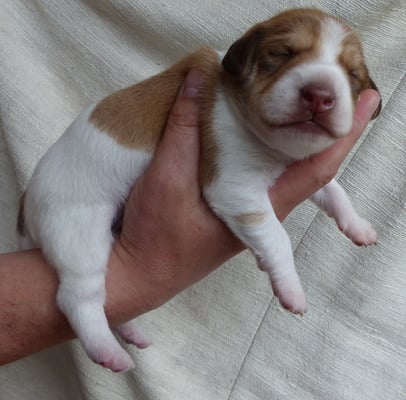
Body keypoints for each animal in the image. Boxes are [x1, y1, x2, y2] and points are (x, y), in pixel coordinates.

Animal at [18, 8, 381, 372]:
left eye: (352, 74)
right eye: (282, 54)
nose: (320, 96)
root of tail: (25, 206)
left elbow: (335, 192)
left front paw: (357, 225)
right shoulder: (233, 184)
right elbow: (277, 237)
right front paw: (291, 288)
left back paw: (131, 333)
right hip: (79, 234)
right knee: (77, 297)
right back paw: (109, 352)